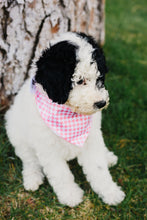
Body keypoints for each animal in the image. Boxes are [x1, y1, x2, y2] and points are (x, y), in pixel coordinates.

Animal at [5, 32, 125, 206]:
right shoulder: (47, 147)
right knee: (29, 159)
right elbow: (60, 174)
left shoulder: (91, 138)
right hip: (17, 135)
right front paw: (71, 196)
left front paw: (110, 192)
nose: (101, 103)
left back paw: (108, 156)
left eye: (99, 78)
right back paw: (32, 178)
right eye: (80, 81)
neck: (69, 114)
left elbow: (98, 168)